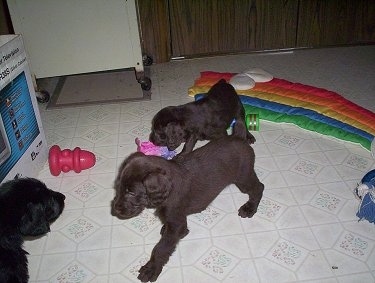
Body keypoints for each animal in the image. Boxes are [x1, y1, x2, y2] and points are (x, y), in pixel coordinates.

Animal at [111, 135, 264, 282]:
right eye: (118, 186)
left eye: (131, 192)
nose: (115, 210)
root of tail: (240, 138)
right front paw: (169, 230)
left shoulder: (176, 221)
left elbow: (161, 248)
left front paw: (151, 268)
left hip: (243, 178)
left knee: (259, 187)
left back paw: (250, 208)